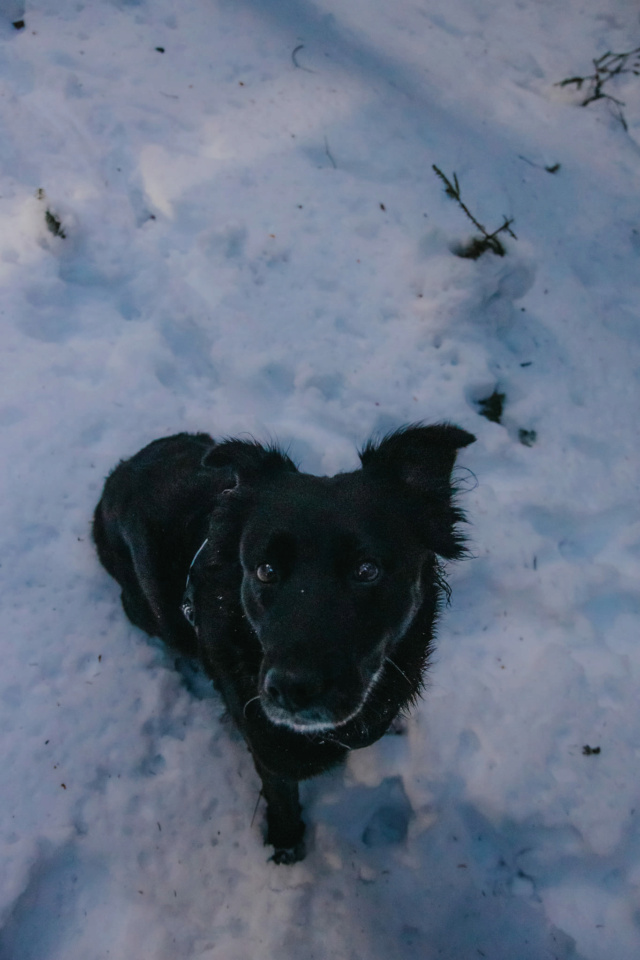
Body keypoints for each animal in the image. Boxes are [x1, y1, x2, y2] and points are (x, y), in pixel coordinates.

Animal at [95, 424, 476, 860]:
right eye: (266, 570)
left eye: (367, 570)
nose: (291, 690)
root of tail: (120, 471)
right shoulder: (270, 752)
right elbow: (282, 797)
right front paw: (287, 846)